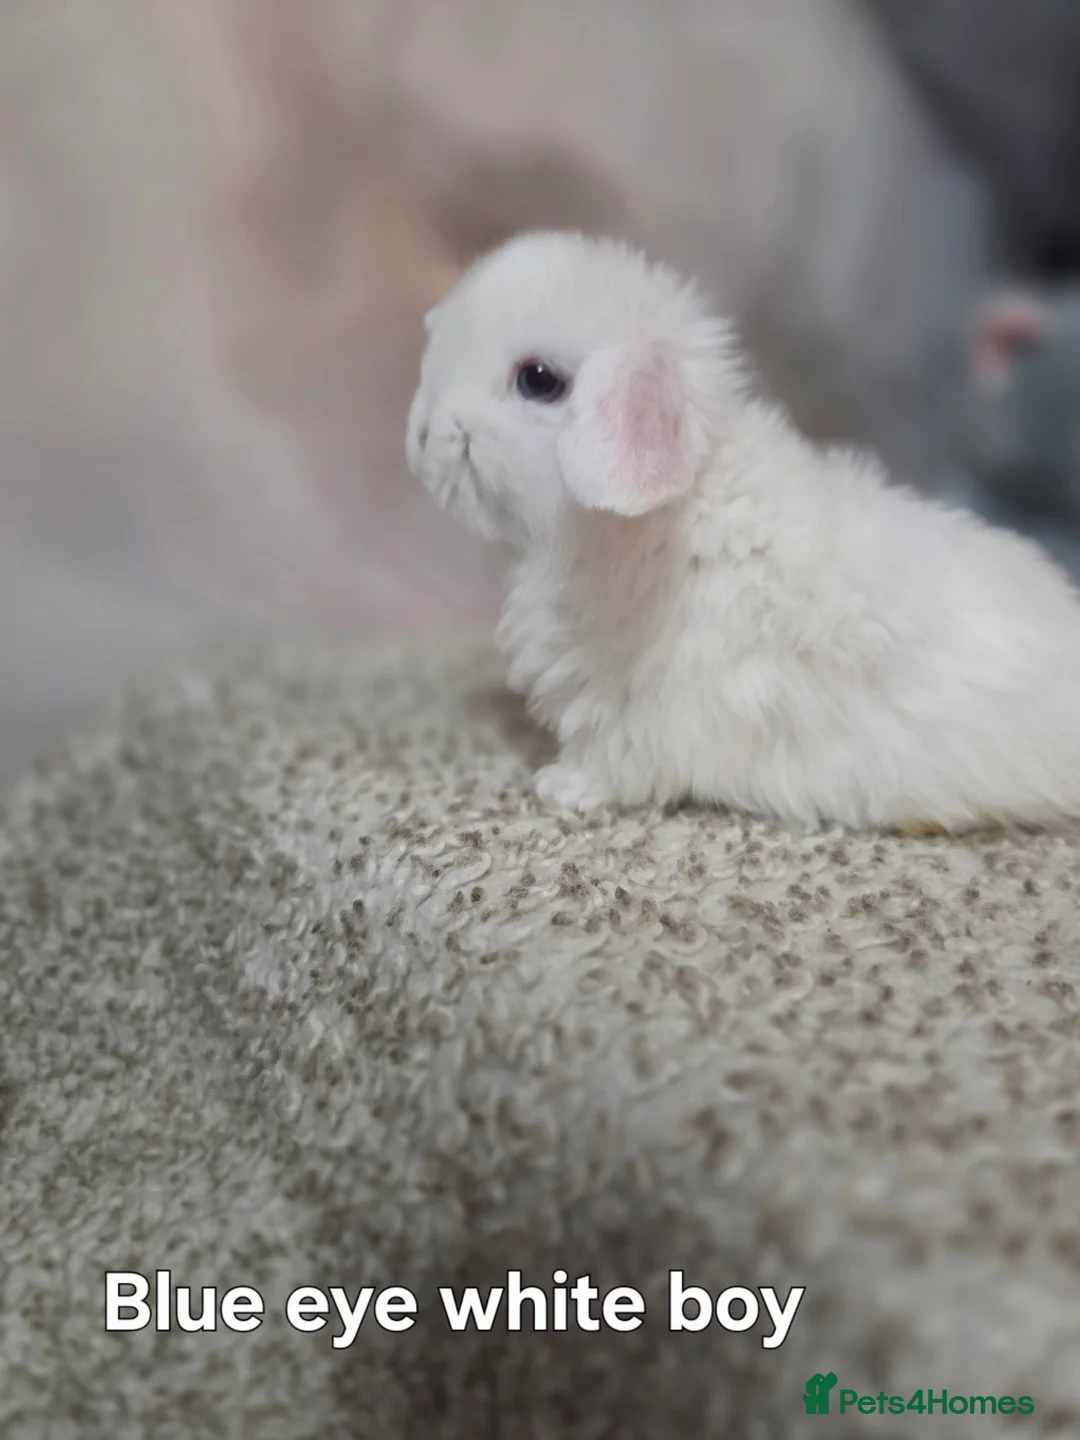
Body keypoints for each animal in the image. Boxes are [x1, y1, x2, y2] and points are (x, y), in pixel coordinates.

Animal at [406, 229, 1080, 833]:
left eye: (539, 379)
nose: (422, 434)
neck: (662, 519)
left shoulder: (640, 708)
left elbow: (616, 759)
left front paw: (561, 786)